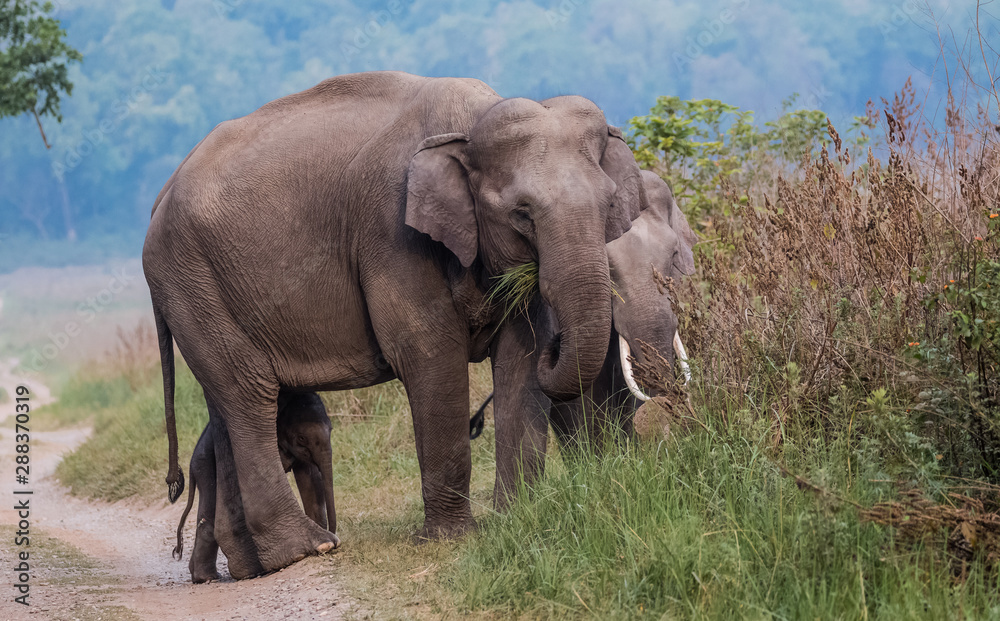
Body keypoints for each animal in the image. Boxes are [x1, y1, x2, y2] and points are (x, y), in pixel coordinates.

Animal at [174, 392, 338, 580]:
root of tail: (191, 464)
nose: (335, 534)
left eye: (331, 429)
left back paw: (203, 577)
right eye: (302, 438)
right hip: (205, 468)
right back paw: (207, 577)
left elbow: (310, 479)